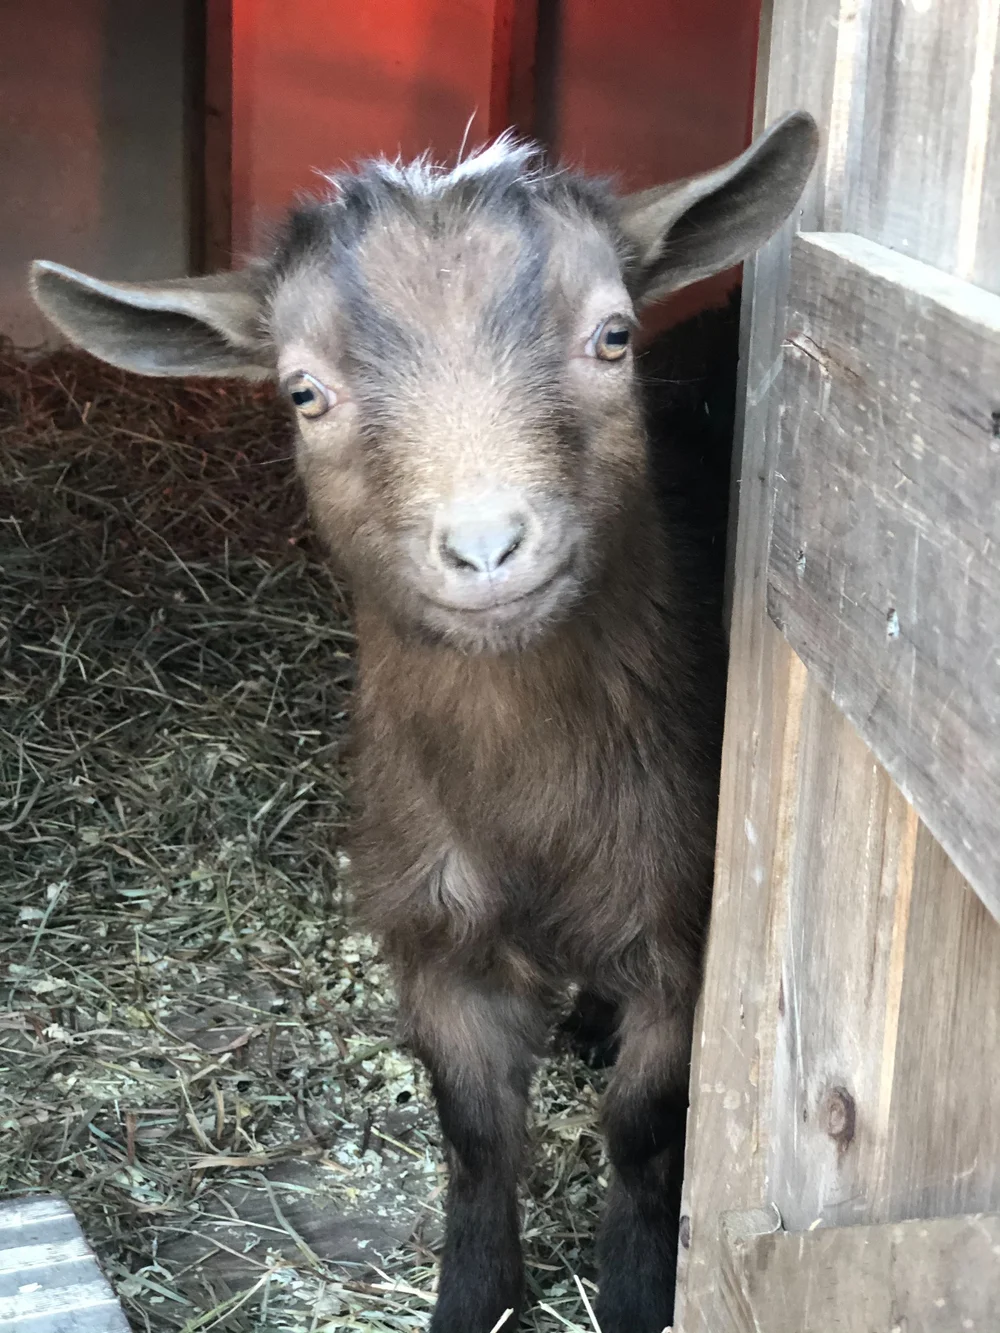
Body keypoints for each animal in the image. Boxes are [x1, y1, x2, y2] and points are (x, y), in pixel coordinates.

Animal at [30, 111, 817, 1332]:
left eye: (613, 336)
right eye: (303, 392)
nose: (488, 547)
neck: (529, 811)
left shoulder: (685, 927)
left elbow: (644, 1132)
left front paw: (639, 1291)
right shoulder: (436, 933)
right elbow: (476, 1136)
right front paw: (474, 1300)